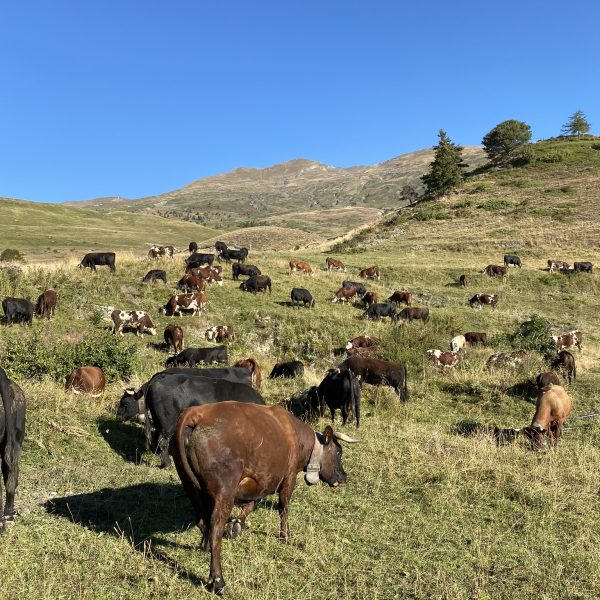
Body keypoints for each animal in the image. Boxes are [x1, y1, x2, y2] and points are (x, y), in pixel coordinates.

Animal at [172, 400, 356, 592]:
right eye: (338, 452)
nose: (344, 477)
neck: (296, 436)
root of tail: (197, 413)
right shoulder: (288, 478)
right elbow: (283, 508)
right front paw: (285, 536)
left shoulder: (263, 480)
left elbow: (253, 504)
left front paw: (237, 524)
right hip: (224, 493)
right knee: (215, 528)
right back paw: (218, 580)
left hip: (191, 487)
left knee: (202, 521)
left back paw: (207, 547)